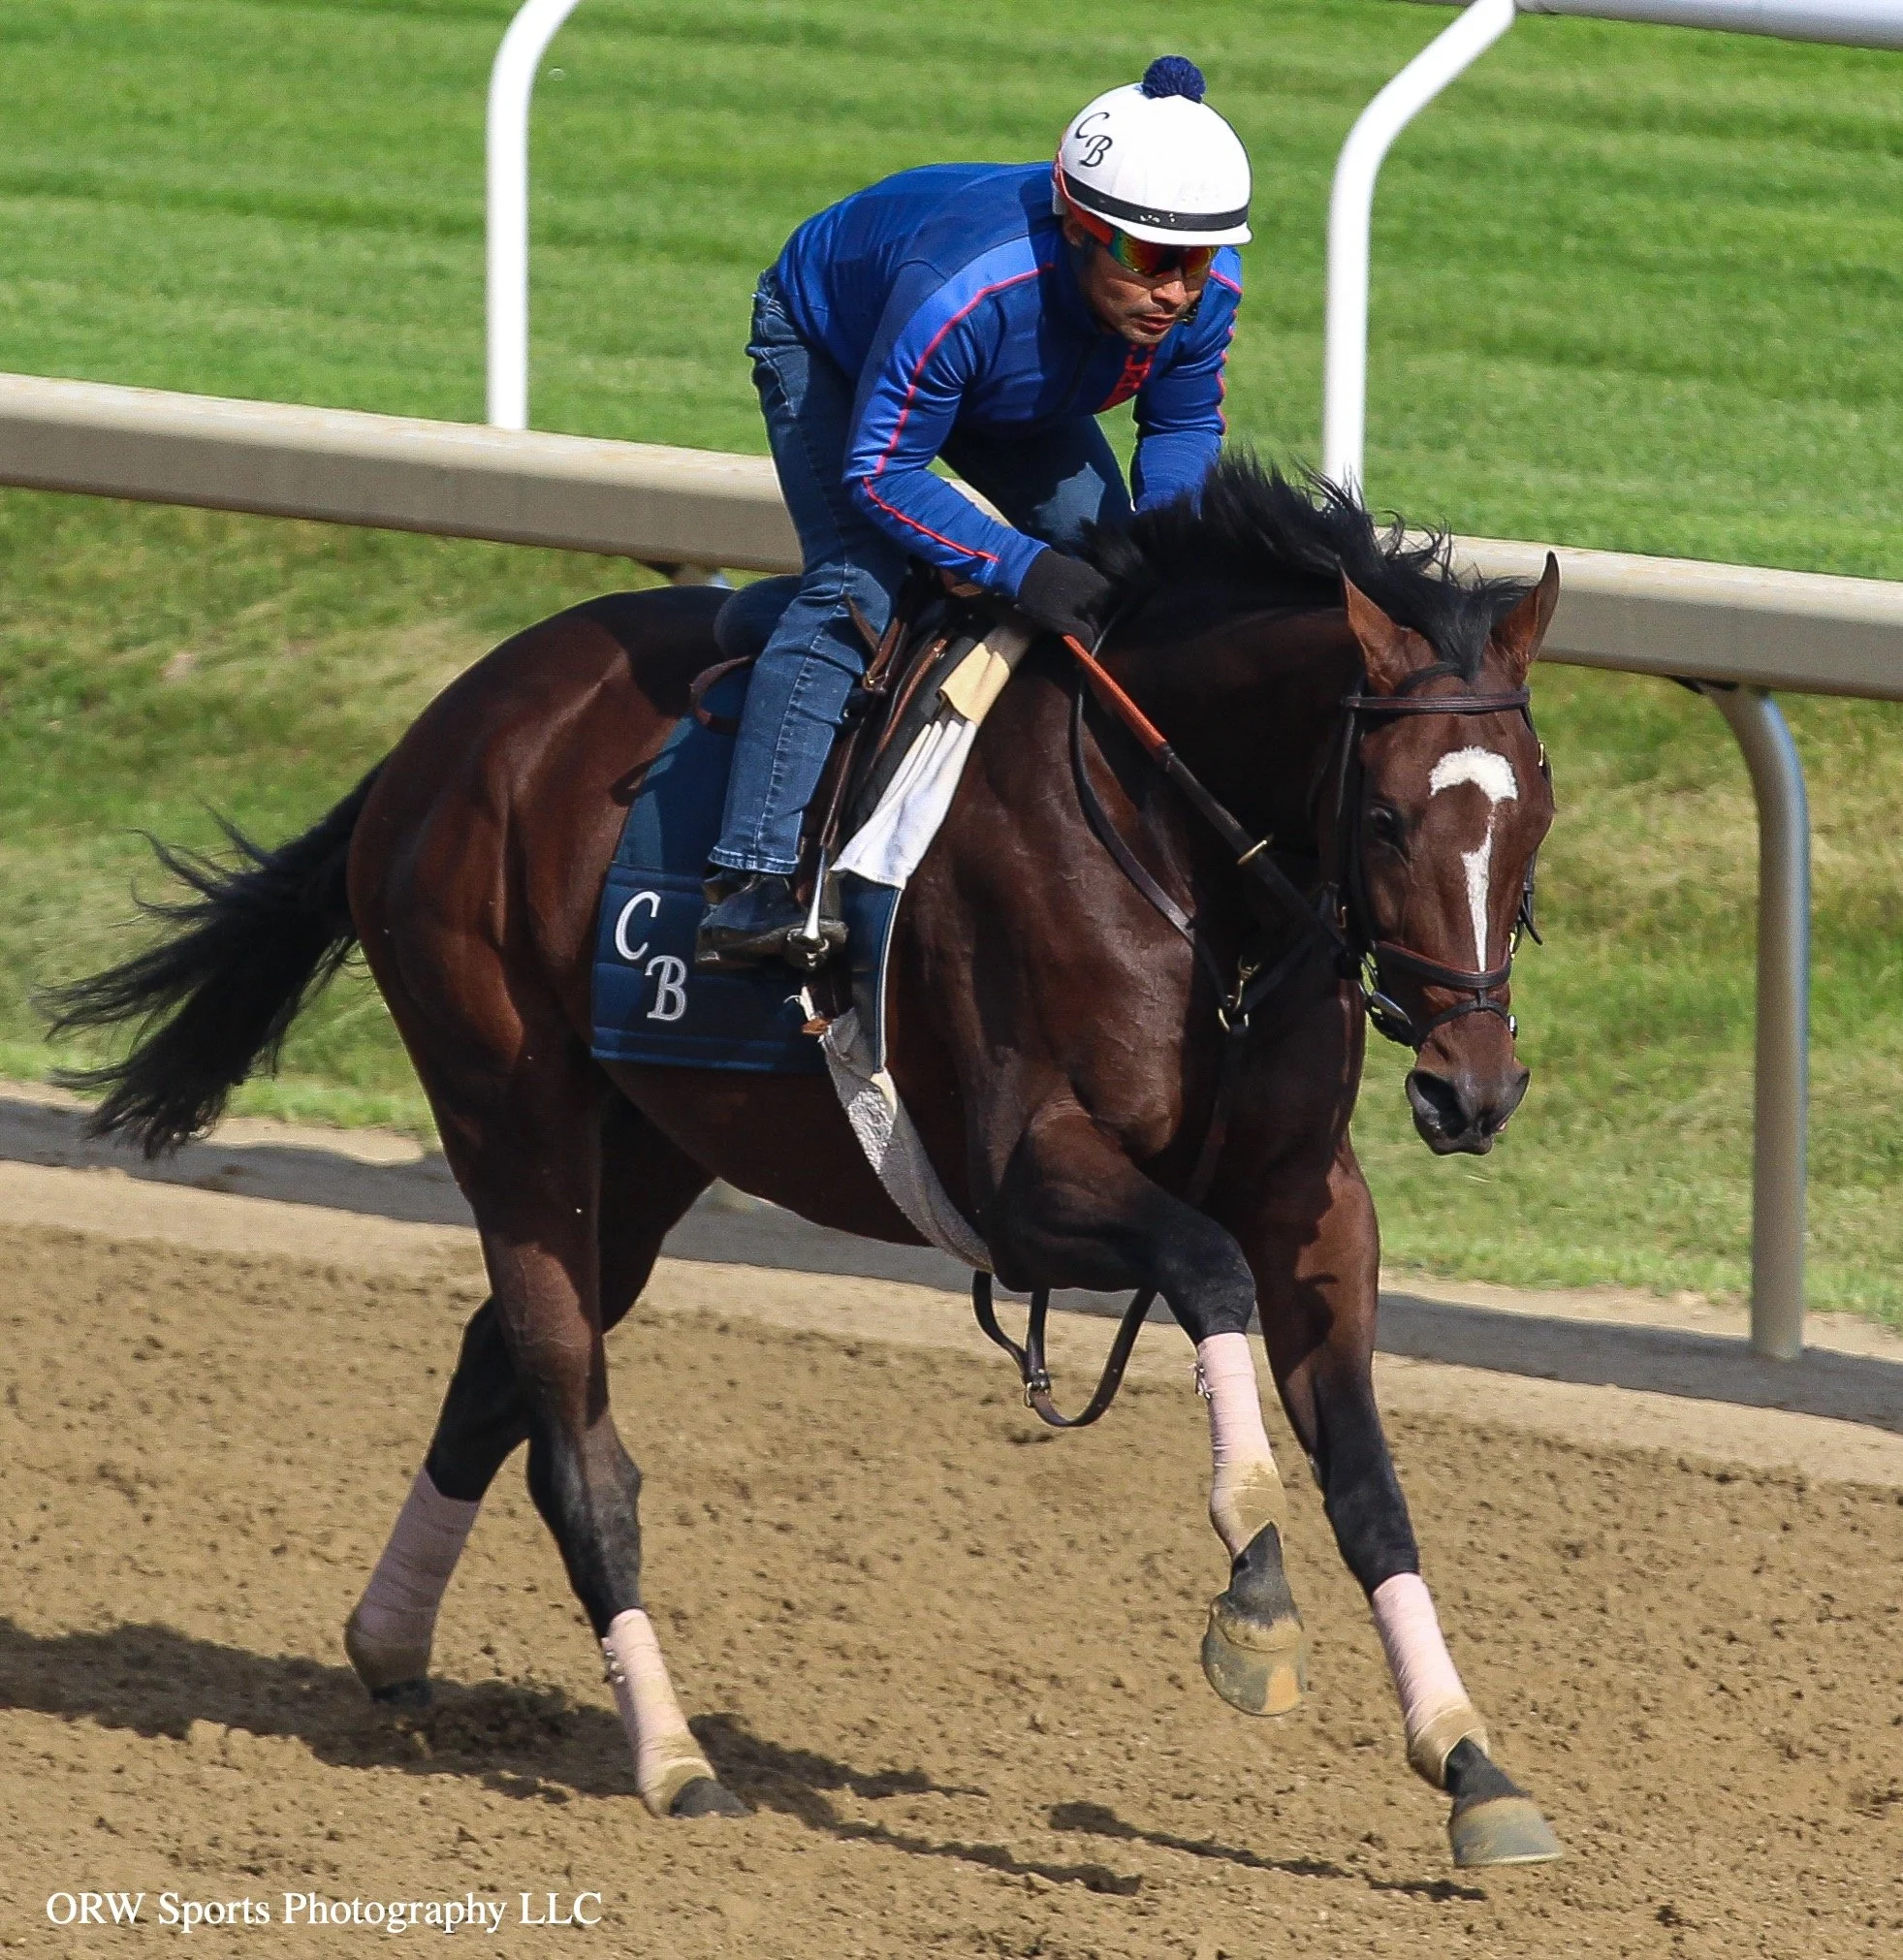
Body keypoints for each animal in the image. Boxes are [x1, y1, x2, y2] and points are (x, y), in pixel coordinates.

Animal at [48, 459, 1561, 1867]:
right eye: (1383, 821)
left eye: (1533, 812)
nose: (1469, 1089)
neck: (1185, 863)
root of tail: (443, 726)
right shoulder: (1025, 1184)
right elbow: (1205, 1275)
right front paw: (1252, 1599)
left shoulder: (1310, 1202)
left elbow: (1369, 1483)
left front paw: (1470, 1764)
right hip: (509, 1116)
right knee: (576, 1451)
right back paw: (672, 1760)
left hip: (645, 1154)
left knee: (491, 1378)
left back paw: (388, 1639)